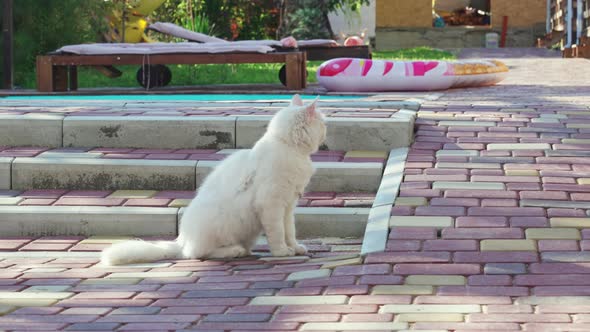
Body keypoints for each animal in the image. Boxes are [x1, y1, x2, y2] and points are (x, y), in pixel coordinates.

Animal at [99, 94, 326, 266]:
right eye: (323, 123)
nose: (326, 132)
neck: (287, 147)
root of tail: (181, 240)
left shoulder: (288, 205)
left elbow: (290, 231)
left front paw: (295, 248)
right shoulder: (271, 204)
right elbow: (278, 233)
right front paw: (282, 252)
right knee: (197, 253)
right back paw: (235, 251)